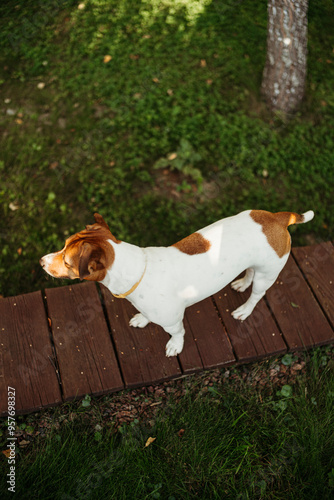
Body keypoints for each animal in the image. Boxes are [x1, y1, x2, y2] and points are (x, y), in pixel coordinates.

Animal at [40, 209, 314, 358]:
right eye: (63, 244)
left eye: (66, 261)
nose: (41, 261)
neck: (136, 269)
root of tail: (277, 218)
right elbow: (145, 315)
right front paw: (142, 319)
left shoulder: (173, 320)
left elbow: (178, 333)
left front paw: (175, 345)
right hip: (252, 263)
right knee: (249, 272)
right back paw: (242, 283)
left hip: (268, 274)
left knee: (258, 295)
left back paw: (245, 309)